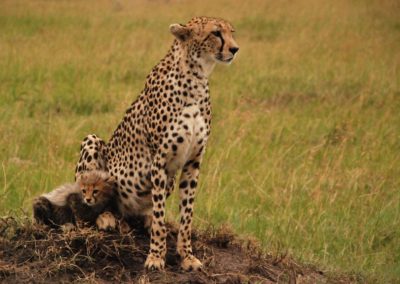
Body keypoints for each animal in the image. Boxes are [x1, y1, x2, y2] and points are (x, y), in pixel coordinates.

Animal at [74, 16, 238, 270]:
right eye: (216, 33)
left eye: (231, 32)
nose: (234, 49)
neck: (196, 78)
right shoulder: (159, 162)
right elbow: (161, 215)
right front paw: (156, 256)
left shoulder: (192, 163)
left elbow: (186, 216)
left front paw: (187, 256)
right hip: (91, 141)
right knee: (88, 197)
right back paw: (106, 217)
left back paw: (143, 218)